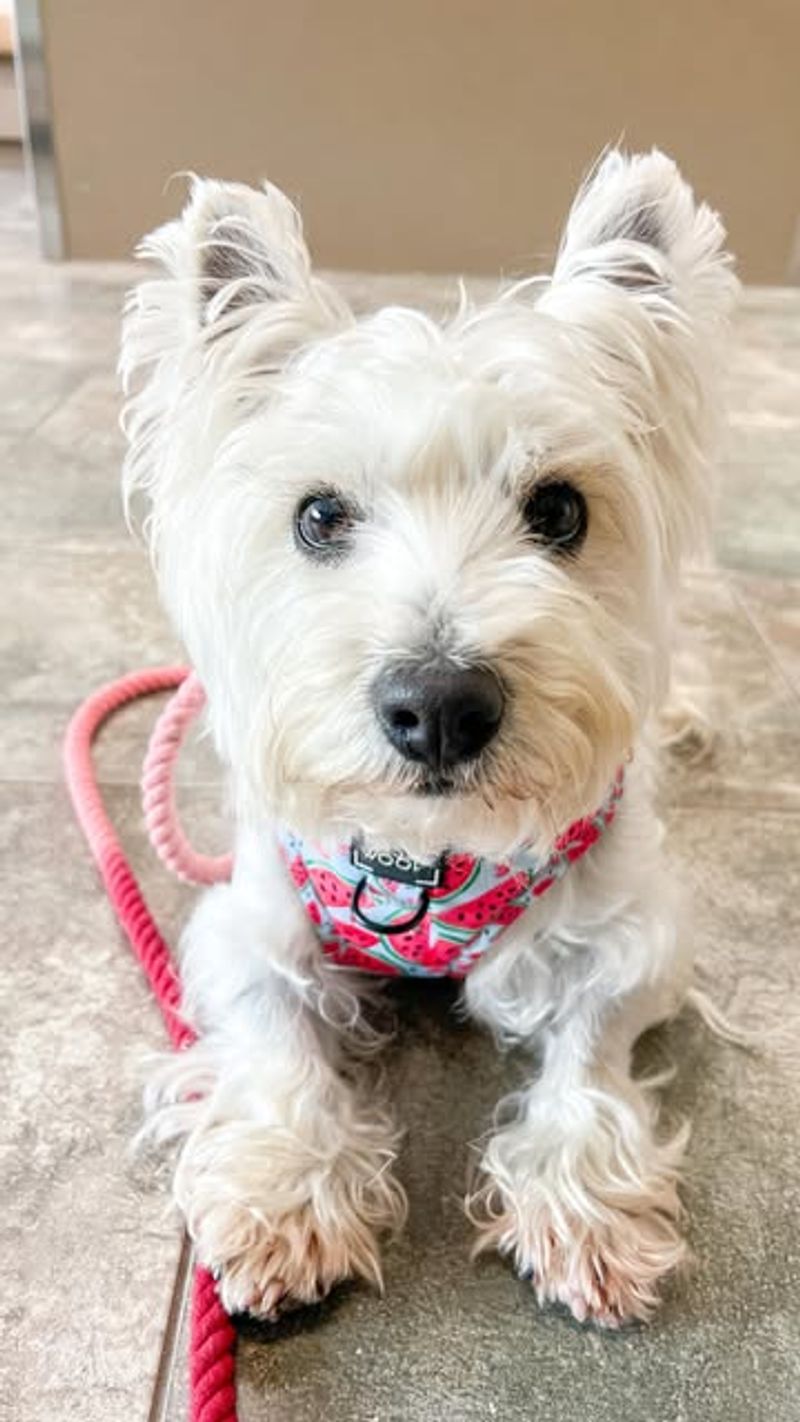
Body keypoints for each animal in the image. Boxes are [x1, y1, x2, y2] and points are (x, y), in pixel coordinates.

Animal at [120, 150, 738, 1325]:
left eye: (559, 510)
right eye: (319, 517)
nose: (440, 704)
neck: (430, 852)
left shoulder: (638, 932)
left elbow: (590, 1044)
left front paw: (583, 1206)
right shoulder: (245, 925)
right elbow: (275, 1035)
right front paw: (284, 1194)